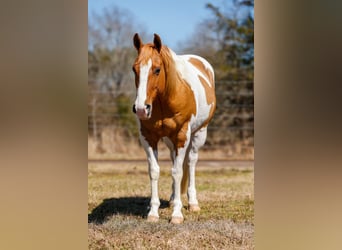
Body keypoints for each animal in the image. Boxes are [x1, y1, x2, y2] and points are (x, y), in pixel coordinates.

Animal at [132, 33, 215, 225]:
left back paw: (192, 203)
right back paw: (171, 199)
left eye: (157, 69)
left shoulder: (182, 136)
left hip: (199, 134)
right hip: (170, 142)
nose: (141, 109)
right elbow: (154, 171)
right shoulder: (148, 137)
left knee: (191, 163)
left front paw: (177, 214)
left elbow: (177, 172)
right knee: (174, 160)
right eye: (134, 69)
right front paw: (153, 212)